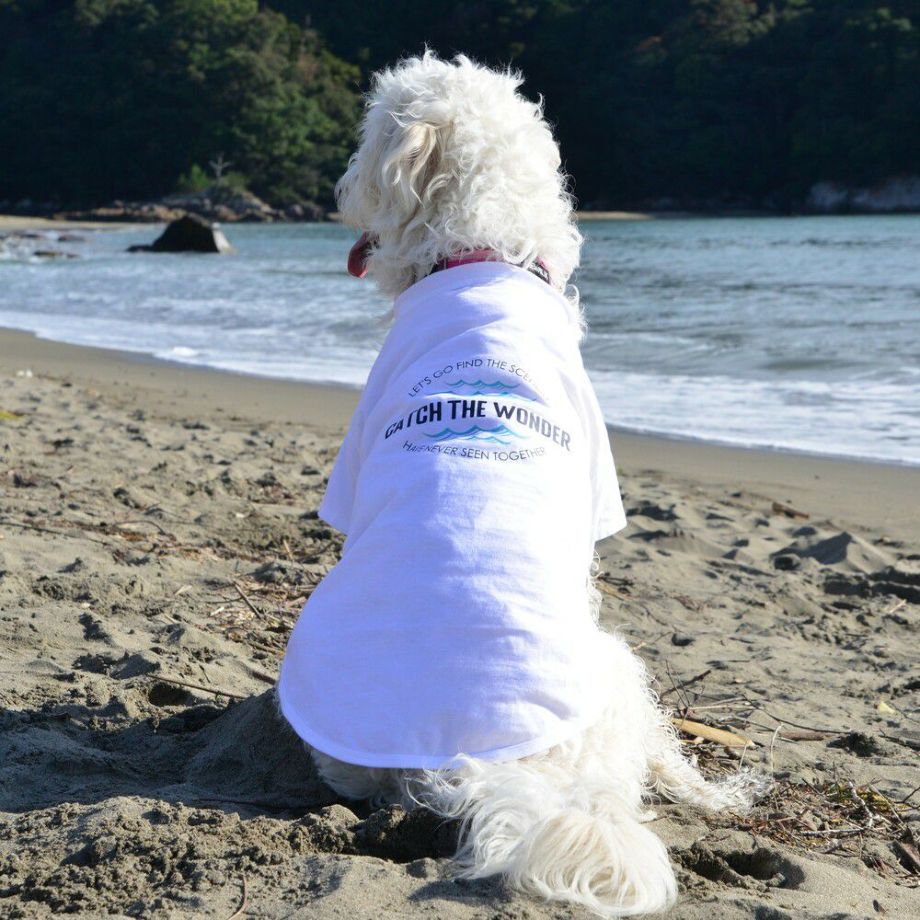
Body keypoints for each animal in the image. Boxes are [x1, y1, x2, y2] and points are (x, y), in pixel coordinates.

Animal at [276, 51, 768, 918]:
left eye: (368, 137)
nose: (336, 188)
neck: (480, 251)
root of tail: (496, 760)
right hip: (615, 661)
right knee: (658, 752)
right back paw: (712, 791)